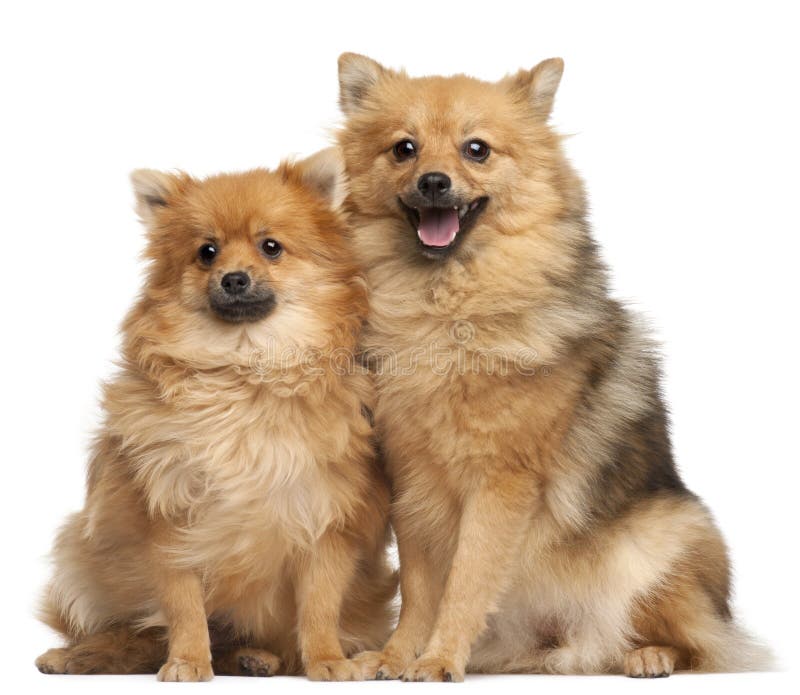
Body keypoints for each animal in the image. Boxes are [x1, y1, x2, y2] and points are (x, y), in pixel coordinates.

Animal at [35, 151, 396, 680]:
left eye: (271, 247)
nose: (234, 278)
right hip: (80, 557)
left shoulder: (327, 517)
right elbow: (182, 604)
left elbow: (319, 604)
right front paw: (187, 660)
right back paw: (78, 654)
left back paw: (255, 657)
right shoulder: (169, 519)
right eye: (207, 252)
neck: (245, 372)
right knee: (131, 634)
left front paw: (328, 659)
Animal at [336, 53, 768, 680]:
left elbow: (466, 581)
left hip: (662, 541)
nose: (434, 181)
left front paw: (439, 659)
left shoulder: (500, 484)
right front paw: (397, 655)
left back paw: (649, 655)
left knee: (701, 641)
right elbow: (419, 590)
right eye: (404, 149)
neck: (446, 309)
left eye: (476, 149)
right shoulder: (412, 481)